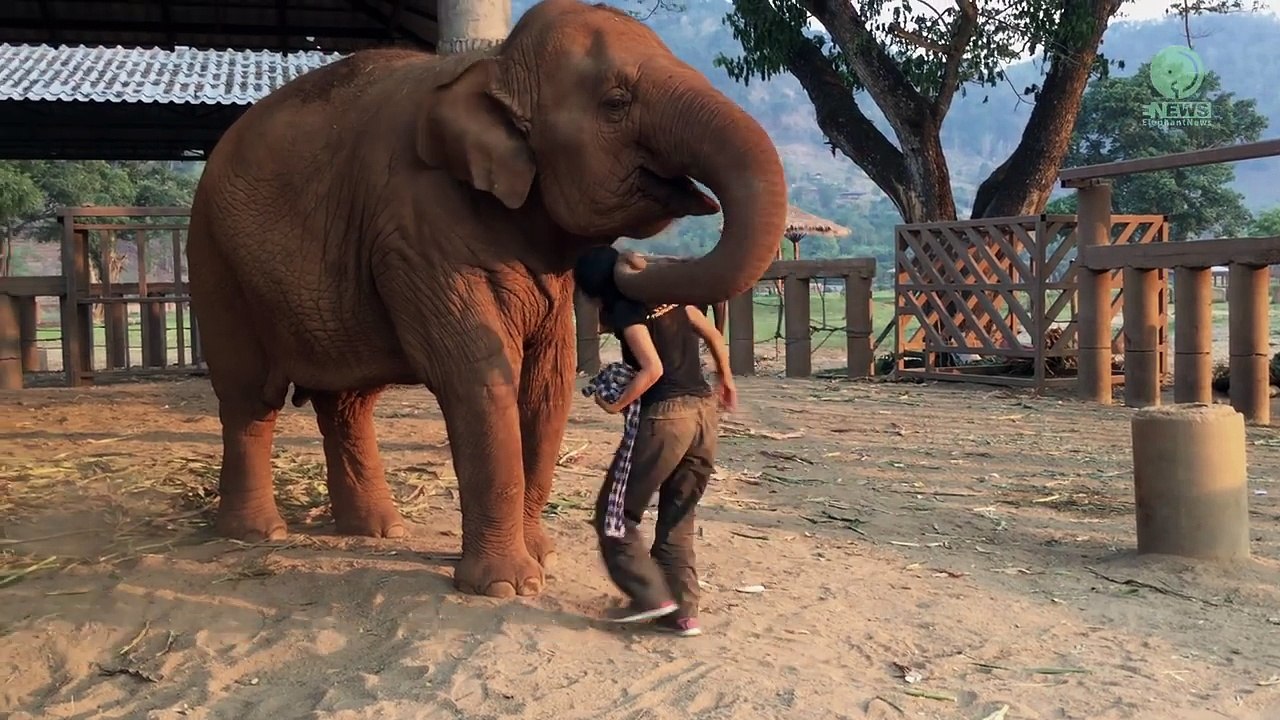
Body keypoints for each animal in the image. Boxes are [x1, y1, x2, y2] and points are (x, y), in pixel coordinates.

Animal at [185, 0, 787, 598]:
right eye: (616, 103)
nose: (632, 268)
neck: (493, 67)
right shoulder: (417, 226)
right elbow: (479, 373)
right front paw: (508, 586)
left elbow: (548, 381)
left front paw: (542, 555)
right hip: (215, 259)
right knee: (249, 397)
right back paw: (255, 534)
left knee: (347, 403)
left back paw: (379, 529)